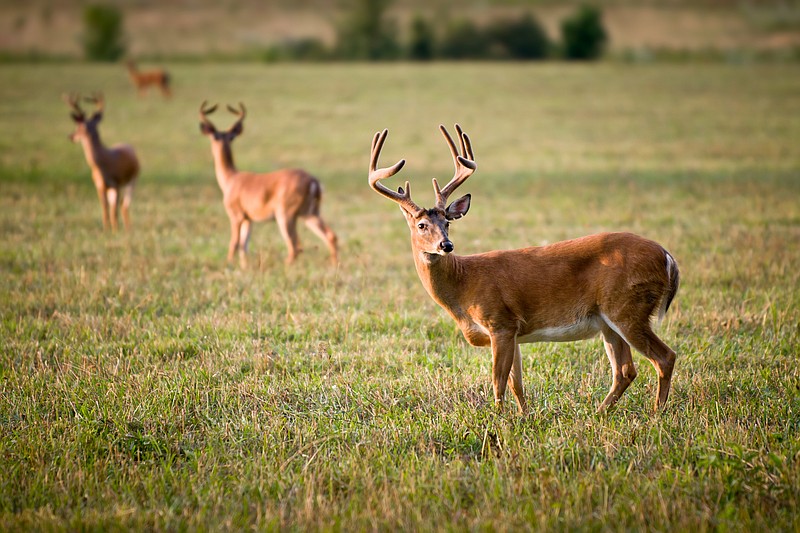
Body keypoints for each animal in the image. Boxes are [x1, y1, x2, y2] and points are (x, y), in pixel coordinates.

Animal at [65, 93, 140, 232]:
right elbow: (105, 207)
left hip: (131, 181)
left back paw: (127, 228)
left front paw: (115, 230)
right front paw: (106, 229)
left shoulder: (116, 183)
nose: (71, 136)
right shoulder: (99, 186)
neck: (101, 165)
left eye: (79, 127)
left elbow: (114, 209)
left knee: (124, 205)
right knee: (117, 205)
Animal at [199, 101, 338, 268]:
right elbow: (243, 245)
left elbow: (234, 243)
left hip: (285, 214)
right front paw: (244, 267)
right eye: (217, 136)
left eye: (229, 137)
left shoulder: (236, 214)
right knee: (330, 236)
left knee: (295, 246)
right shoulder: (249, 218)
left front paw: (230, 265)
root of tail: (314, 182)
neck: (230, 179)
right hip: (310, 213)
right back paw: (334, 265)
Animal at [368, 125, 680, 414]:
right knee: (625, 370)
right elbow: (516, 383)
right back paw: (600, 413)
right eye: (422, 225)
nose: (446, 245)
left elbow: (498, 382)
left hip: (628, 307)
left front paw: (497, 420)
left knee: (664, 357)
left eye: (447, 222)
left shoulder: (500, 321)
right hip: (608, 320)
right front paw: (524, 417)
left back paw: (656, 414)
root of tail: (667, 257)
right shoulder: (513, 331)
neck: (464, 283)